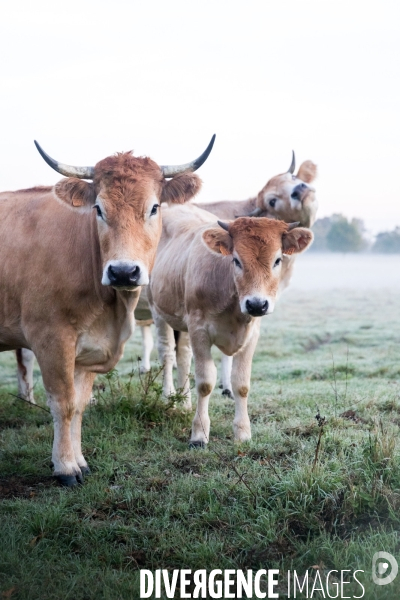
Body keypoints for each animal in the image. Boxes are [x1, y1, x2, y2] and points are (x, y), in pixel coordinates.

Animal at [1, 136, 214, 482]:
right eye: (99, 209)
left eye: (154, 207)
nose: (123, 272)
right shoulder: (51, 338)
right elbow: (63, 403)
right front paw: (65, 467)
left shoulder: (89, 347)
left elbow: (79, 405)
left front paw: (80, 461)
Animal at [147, 206, 312, 446]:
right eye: (236, 260)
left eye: (277, 260)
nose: (256, 304)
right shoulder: (199, 330)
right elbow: (205, 382)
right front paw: (199, 434)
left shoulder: (251, 335)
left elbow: (241, 384)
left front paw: (243, 432)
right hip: (158, 311)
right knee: (167, 354)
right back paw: (168, 397)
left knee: (184, 357)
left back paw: (185, 402)